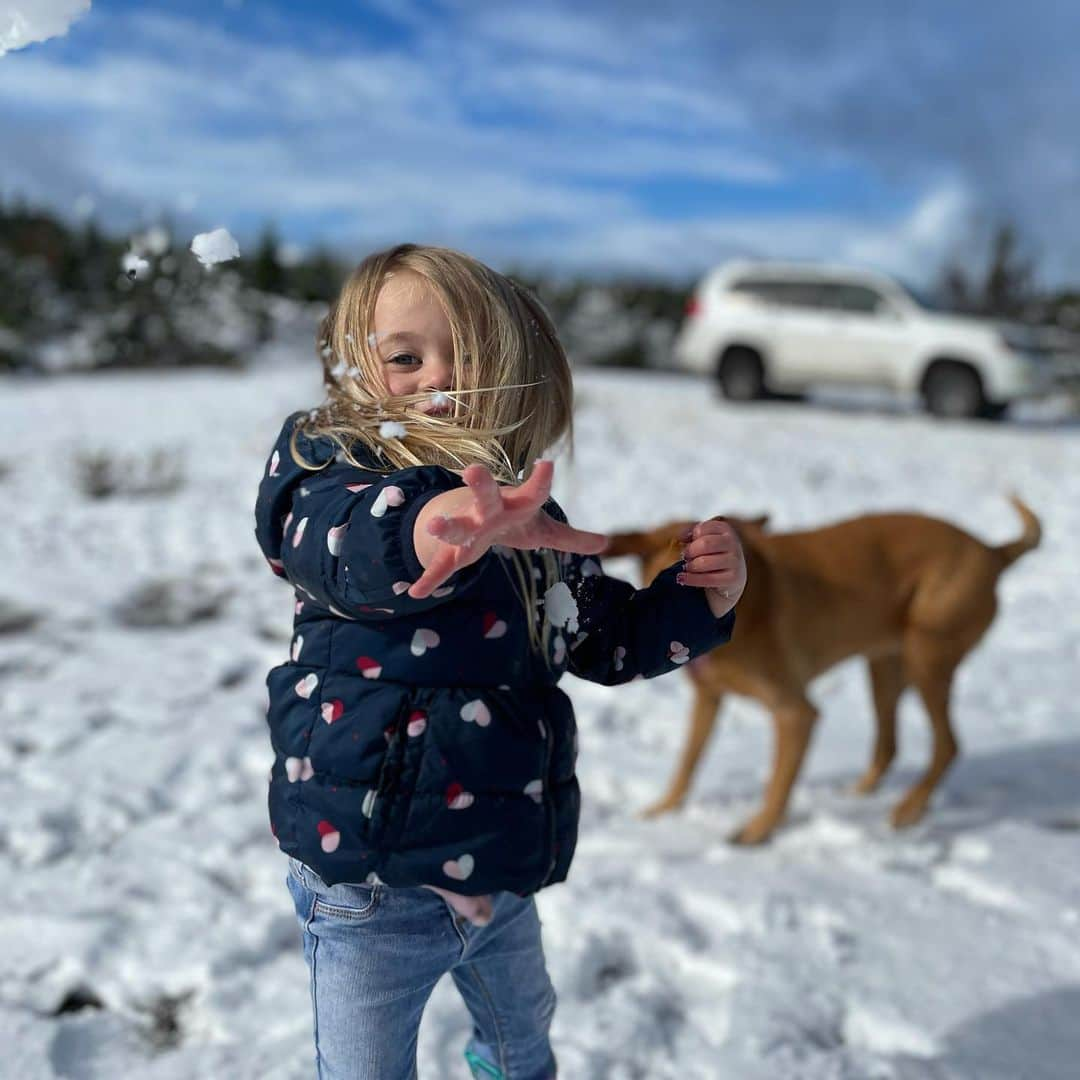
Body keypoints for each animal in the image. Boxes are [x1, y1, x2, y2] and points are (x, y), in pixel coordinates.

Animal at [609, 496, 1036, 842]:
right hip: (885, 665)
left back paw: (907, 810)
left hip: (927, 654)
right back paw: (867, 797)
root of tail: (992, 551)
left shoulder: (796, 712)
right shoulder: (709, 698)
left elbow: (778, 779)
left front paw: (757, 832)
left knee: (947, 745)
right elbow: (688, 762)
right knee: (889, 745)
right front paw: (663, 810)